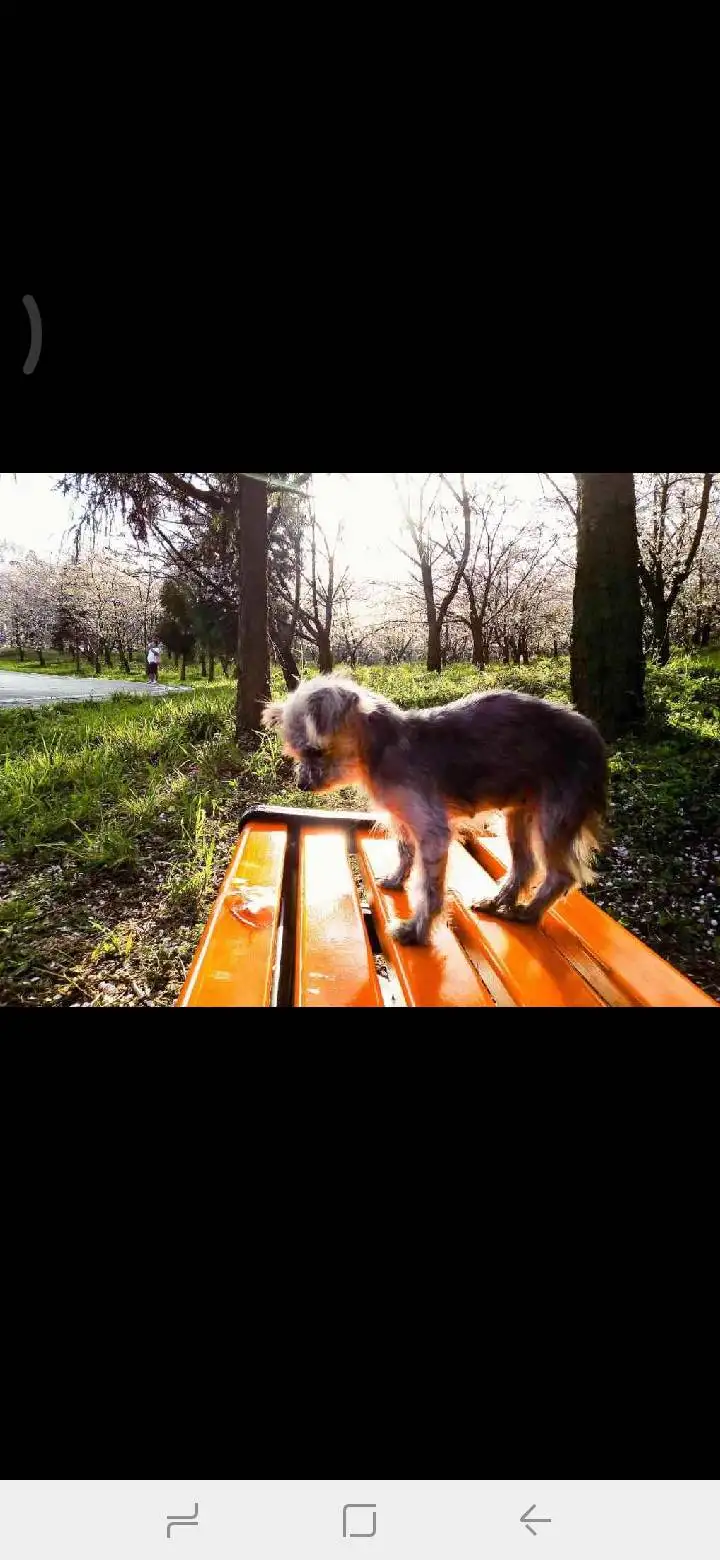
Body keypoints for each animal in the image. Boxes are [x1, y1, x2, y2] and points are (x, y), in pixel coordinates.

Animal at [261, 677, 604, 942]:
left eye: (315, 751)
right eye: (296, 753)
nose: (302, 785)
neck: (382, 749)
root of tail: (595, 736)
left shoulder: (432, 831)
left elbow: (429, 889)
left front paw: (416, 930)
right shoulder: (402, 820)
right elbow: (404, 852)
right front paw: (396, 879)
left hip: (552, 819)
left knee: (560, 875)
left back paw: (528, 913)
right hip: (517, 815)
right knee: (525, 865)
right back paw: (497, 901)